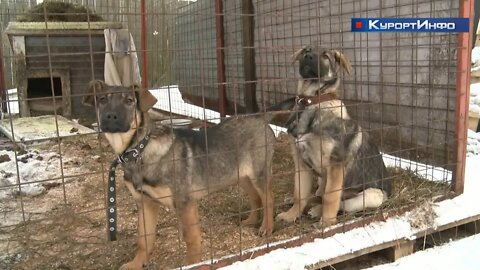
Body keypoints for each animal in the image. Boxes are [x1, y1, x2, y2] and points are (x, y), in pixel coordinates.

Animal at [84, 81, 276, 268]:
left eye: (129, 101)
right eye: (102, 100)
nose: (111, 117)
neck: (138, 150)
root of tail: (260, 117)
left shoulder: (185, 203)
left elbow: (191, 239)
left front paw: (194, 264)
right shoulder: (145, 203)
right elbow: (143, 239)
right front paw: (136, 264)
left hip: (258, 173)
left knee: (268, 198)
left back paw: (267, 228)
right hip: (240, 176)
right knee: (256, 198)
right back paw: (251, 221)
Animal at [274, 47, 390, 227]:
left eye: (325, 56)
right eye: (306, 50)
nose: (308, 56)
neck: (313, 101)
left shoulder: (335, 164)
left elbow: (330, 197)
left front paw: (326, 223)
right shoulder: (300, 162)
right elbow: (299, 193)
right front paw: (290, 215)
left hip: (372, 195)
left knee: (340, 202)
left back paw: (317, 211)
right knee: (318, 193)